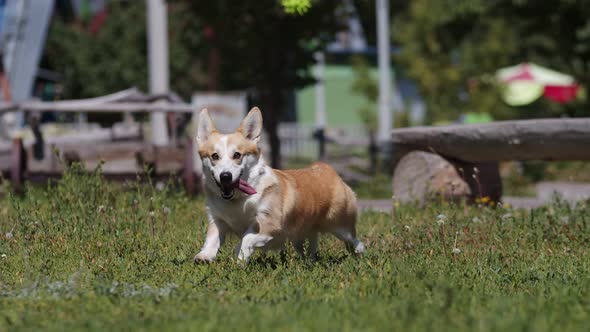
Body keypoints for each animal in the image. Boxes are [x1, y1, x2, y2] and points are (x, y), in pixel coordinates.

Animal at [194, 107, 366, 264]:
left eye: (237, 155)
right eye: (214, 156)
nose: (225, 176)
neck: (237, 200)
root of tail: (328, 170)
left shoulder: (269, 224)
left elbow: (247, 238)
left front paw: (239, 255)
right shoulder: (218, 220)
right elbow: (212, 239)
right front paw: (204, 256)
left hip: (340, 225)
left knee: (354, 240)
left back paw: (360, 254)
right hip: (302, 236)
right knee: (310, 247)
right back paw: (309, 262)